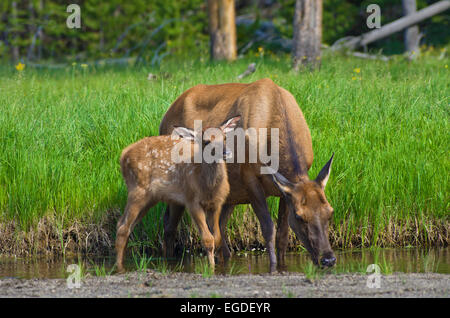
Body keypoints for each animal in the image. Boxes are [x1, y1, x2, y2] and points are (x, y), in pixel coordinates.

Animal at [116, 115, 243, 272]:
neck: (207, 187)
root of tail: (123, 155)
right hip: (137, 189)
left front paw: (219, 265)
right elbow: (207, 239)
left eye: (224, 137)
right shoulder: (191, 200)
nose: (227, 153)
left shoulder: (217, 204)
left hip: (149, 198)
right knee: (123, 227)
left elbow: (218, 237)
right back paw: (119, 267)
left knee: (125, 225)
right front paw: (210, 269)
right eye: (206, 141)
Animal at [160, 79, 336, 270]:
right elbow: (268, 228)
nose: (328, 259)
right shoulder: (250, 178)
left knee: (219, 227)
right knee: (169, 225)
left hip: (229, 196)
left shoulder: (285, 191)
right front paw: (273, 267)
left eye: (330, 212)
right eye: (300, 216)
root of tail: (165, 117)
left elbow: (282, 234)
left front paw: (282, 266)